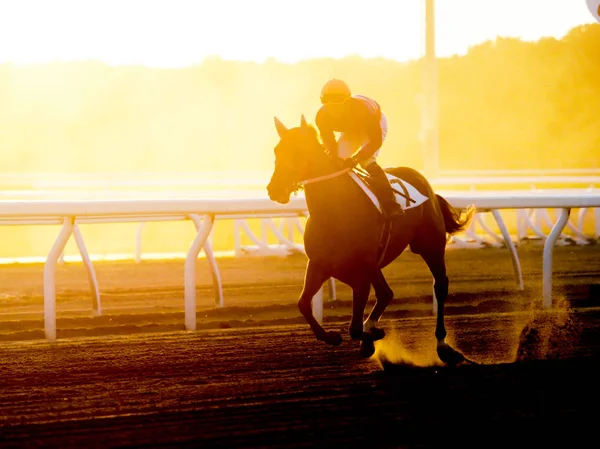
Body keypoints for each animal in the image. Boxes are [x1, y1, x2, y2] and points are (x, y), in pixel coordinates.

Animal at [266, 115, 474, 364]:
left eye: (298, 151)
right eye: (277, 150)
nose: (274, 190)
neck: (334, 213)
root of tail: (427, 186)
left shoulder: (360, 275)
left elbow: (354, 328)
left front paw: (371, 334)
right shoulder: (319, 265)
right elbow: (303, 304)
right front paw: (334, 336)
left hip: (430, 246)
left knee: (439, 285)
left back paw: (443, 346)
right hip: (377, 262)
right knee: (386, 293)